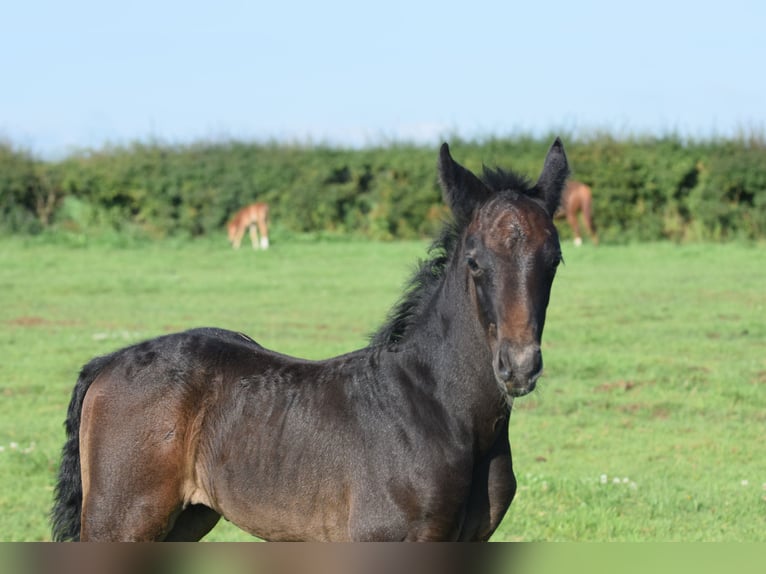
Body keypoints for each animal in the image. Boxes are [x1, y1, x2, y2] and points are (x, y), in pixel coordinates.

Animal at [52, 137, 568, 544]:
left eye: (555, 260)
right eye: (476, 262)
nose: (519, 366)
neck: (439, 408)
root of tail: (108, 361)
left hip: (184, 519)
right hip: (121, 520)